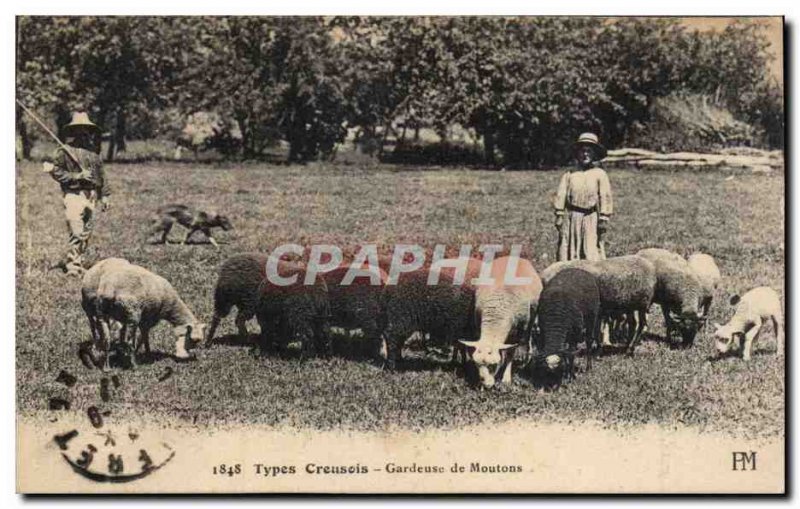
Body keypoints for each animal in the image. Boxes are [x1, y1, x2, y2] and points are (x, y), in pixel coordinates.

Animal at [456, 256, 544, 386]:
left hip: (531, 316)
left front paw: (506, 377)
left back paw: (527, 358)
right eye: (477, 364)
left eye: (492, 365)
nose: (486, 385)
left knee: (528, 337)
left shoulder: (518, 330)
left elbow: (511, 353)